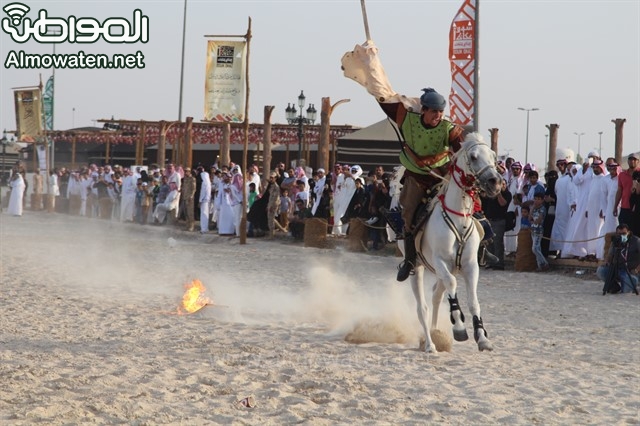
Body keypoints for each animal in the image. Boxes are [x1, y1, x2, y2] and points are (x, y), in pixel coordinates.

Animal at [398, 134, 502, 352]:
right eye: (473, 156)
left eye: (493, 156)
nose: (495, 182)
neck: (458, 218)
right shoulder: (440, 261)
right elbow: (452, 285)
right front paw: (459, 327)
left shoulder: (470, 265)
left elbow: (473, 301)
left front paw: (482, 337)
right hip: (417, 267)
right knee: (423, 307)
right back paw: (430, 344)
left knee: (436, 295)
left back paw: (435, 333)